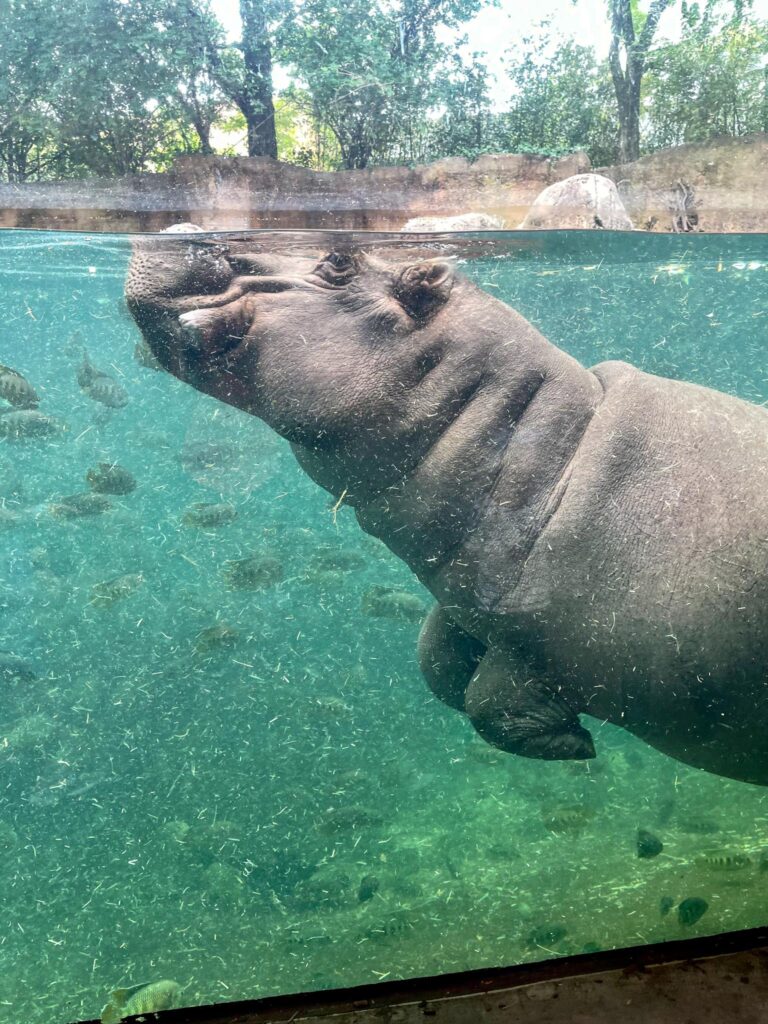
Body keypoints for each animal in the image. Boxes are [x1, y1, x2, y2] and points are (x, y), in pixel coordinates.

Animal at [125, 230, 768, 786]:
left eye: (338, 261)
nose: (178, 229)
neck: (547, 445)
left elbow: (487, 703)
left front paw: (569, 743)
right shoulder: (472, 607)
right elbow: (435, 662)